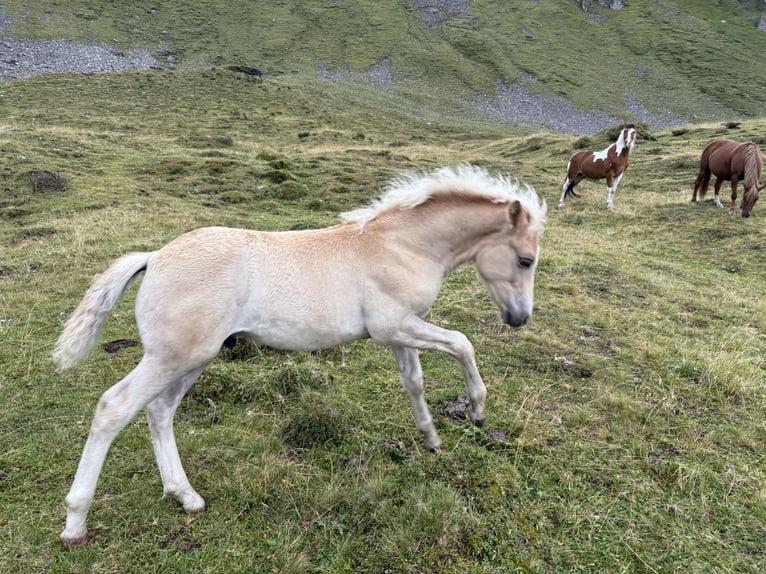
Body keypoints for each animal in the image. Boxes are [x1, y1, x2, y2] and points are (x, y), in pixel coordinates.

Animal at [52, 164, 547, 545]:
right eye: (525, 260)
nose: (519, 318)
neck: (401, 245)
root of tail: (154, 257)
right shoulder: (395, 325)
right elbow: (462, 342)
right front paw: (478, 410)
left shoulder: (398, 332)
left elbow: (415, 382)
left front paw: (431, 439)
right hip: (173, 356)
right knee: (114, 407)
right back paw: (76, 522)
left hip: (192, 359)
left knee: (159, 411)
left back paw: (186, 496)